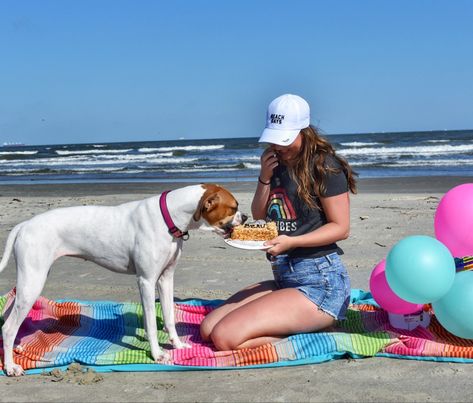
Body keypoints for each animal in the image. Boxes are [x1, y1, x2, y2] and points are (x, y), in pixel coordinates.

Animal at [1, 185, 247, 378]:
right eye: (233, 207)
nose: (245, 217)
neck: (168, 217)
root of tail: (24, 225)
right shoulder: (147, 281)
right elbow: (151, 323)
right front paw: (158, 354)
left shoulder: (166, 279)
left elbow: (169, 318)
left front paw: (177, 345)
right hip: (33, 281)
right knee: (9, 326)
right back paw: (11, 367)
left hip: (28, 283)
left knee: (10, 316)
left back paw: (17, 348)